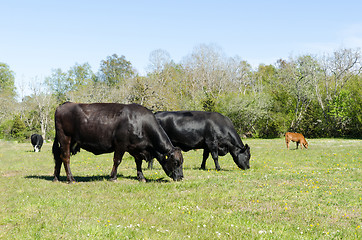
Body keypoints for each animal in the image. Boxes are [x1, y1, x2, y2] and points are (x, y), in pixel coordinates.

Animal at [52, 102, 184, 183]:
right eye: (176, 162)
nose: (181, 177)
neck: (140, 123)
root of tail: (63, 105)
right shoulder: (121, 145)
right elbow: (117, 160)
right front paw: (113, 177)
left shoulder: (136, 148)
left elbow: (138, 163)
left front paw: (141, 177)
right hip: (65, 139)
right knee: (65, 158)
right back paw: (71, 179)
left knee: (58, 158)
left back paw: (56, 178)